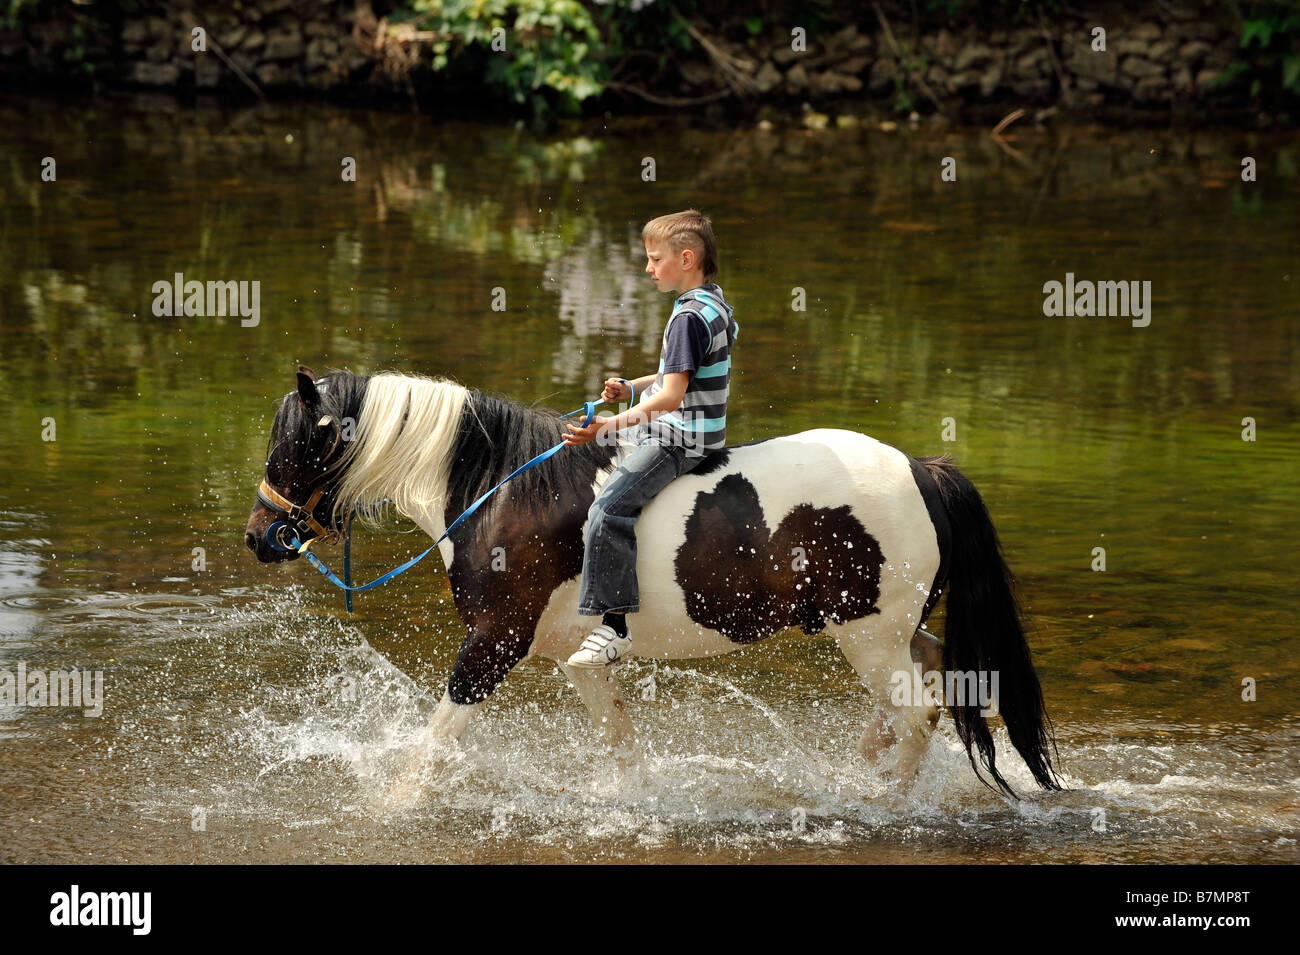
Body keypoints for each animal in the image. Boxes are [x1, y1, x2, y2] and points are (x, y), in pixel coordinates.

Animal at [248, 361, 1060, 795]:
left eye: (297, 443)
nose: (261, 535)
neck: (502, 489)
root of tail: (923, 469)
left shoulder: (493, 645)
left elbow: (433, 741)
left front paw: (388, 809)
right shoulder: (573, 657)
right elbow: (620, 742)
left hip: (869, 634)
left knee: (919, 712)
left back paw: (882, 802)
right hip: (888, 631)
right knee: (932, 678)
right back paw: (864, 762)